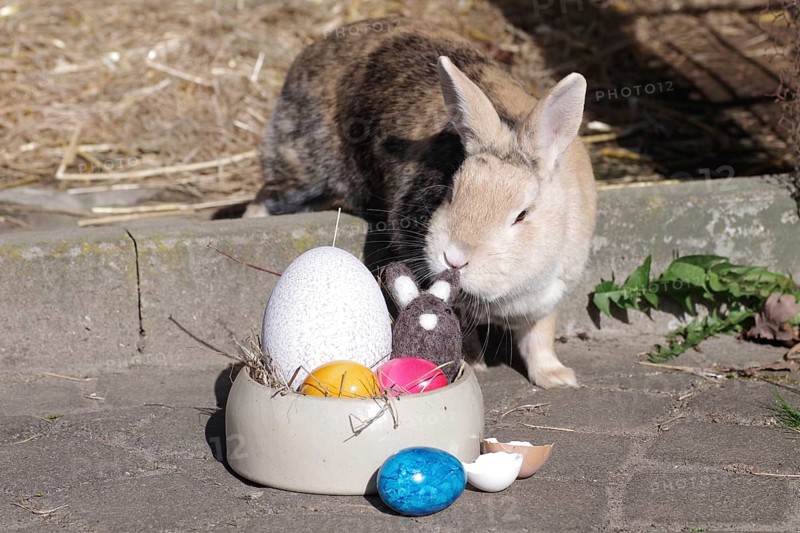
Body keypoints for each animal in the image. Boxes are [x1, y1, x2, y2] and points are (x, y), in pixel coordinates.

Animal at [246, 18, 597, 388]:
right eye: (452, 191)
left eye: (522, 215)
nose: (455, 258)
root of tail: (316, 50)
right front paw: (474, 363)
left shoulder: (547, 300)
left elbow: (539, 339)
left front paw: (558, 378)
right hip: (305, 171)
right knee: (265, 197)